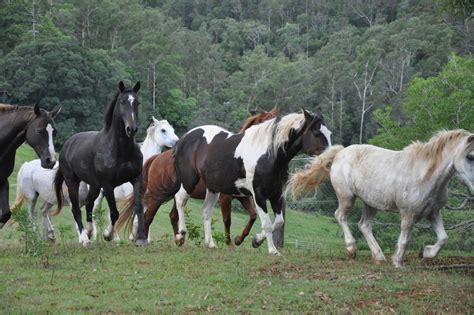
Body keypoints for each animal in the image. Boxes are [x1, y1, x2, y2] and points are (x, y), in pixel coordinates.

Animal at [13, 117, 180, 243]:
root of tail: (27, 165)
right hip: (34, 197)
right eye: (163, 130)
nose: (177, 142)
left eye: (172, 129)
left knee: (44, 211)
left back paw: (51, 236)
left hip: (52, 198)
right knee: (34, 213)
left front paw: (140, 237)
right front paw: (122, 237)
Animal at [53, 81, 148, 247]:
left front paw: (141, 238)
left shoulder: (136, 179)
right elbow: (114, 213)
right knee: (77, 210)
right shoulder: (108, 185)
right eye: (122, 102)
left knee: (89, 205)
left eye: (137, 103)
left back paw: (90, 232)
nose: (131, 129)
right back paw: (85, 239)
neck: (120, 150)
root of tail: (67, 144)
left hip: (94, 186)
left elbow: (138, 208)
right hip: (72, 182)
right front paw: (108, 235)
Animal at [115, 110, 282, 246]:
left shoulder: (242, 196)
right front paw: (230, 244)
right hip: (159, 195)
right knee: (148, 214)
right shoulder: (226, 197)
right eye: (268, 125)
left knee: (169, 216)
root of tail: (155, 159)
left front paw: (241, 239)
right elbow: (227, 220)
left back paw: (176, 239)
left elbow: (253, 215)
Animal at [174, 110, 334, 256]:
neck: (269, 155)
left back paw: (210, 243)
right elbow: (267, 224)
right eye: (316, 133)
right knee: (180, 200)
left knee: (206, 211)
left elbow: (279, 222)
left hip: (213, 188)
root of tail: (185, 137)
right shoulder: (259, 195)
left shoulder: (276, 194)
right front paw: (272, 250)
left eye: (329, 134)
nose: (330, 161)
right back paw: (180, 235)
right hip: (190, 181)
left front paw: (256, 240)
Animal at [286, 130, 472, 268]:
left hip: (370, 203)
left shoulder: (433, 213)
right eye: (470, 156)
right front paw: (398, 262)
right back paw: (352, 249)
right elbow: (405, 239)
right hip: (347, 197)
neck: (425, 175)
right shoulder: (408, 214)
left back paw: (378, 256)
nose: (473, 186)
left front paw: (425, 252)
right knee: (340, 216)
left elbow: (443, 238)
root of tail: (341, 152)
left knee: (364, 225)